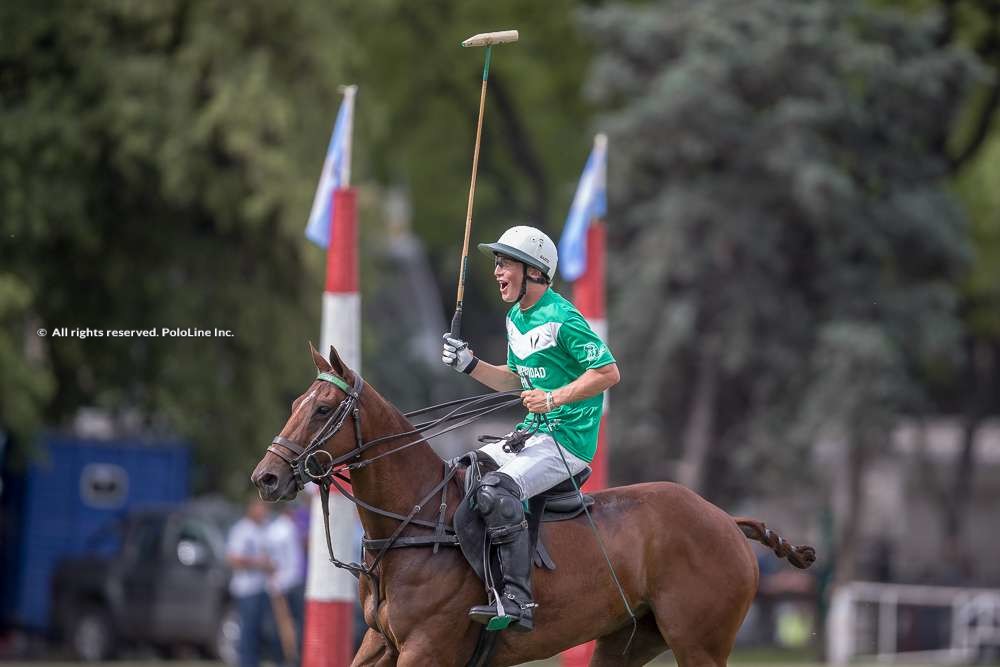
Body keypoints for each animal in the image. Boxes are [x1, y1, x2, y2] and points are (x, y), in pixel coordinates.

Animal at [250, 348, 812, 664]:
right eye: (296, 403)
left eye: (323, 409)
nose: (266, 477)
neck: (416, 522)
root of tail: (727, 520)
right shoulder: (380, 644)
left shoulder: (427, 647)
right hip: (627, 640)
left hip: (700, 642)